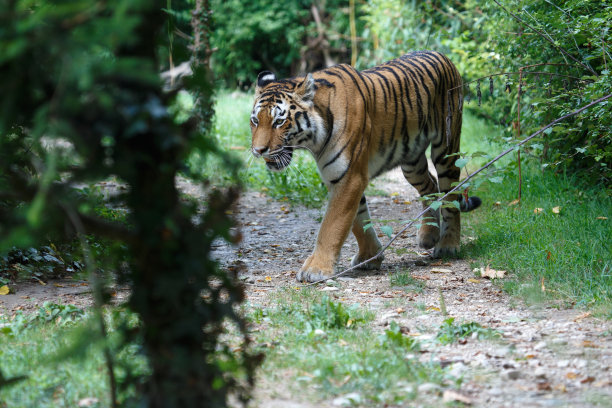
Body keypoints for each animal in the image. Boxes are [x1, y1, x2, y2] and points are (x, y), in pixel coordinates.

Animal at [249, 50, 478, 284]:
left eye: (279, 122)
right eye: (255, 121)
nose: (258, 150)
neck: (314, 141)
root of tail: (444, 56)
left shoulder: (350, 177)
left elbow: (332, 225)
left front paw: (316, 269)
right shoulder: (339, 177)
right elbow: (358, 221)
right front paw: (370, 257)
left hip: (446, 149)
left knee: (451, 195)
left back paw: (448, 245)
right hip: (411, 162)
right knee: (431, 186)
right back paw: (428, 236)